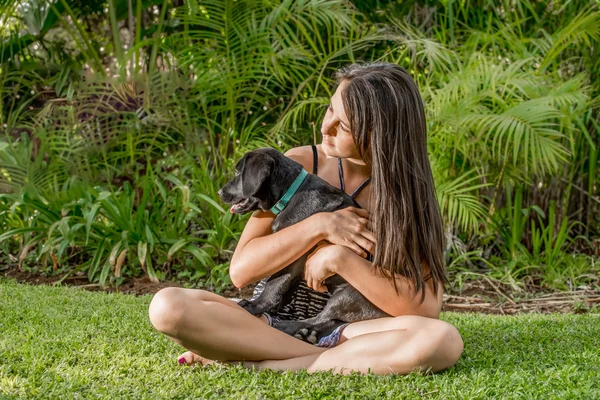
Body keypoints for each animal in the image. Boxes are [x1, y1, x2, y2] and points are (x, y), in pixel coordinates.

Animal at [216, 147, 390, 344]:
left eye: (238, 172)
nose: (219, 193)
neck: (291, 193)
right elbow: (286, 284)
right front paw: (278, 305)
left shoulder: (296, 253)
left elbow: (275, 282)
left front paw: (256, 305)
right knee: (332, 320)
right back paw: (308, 334)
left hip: (351, 293)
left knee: (322, 317)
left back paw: (289, 327)